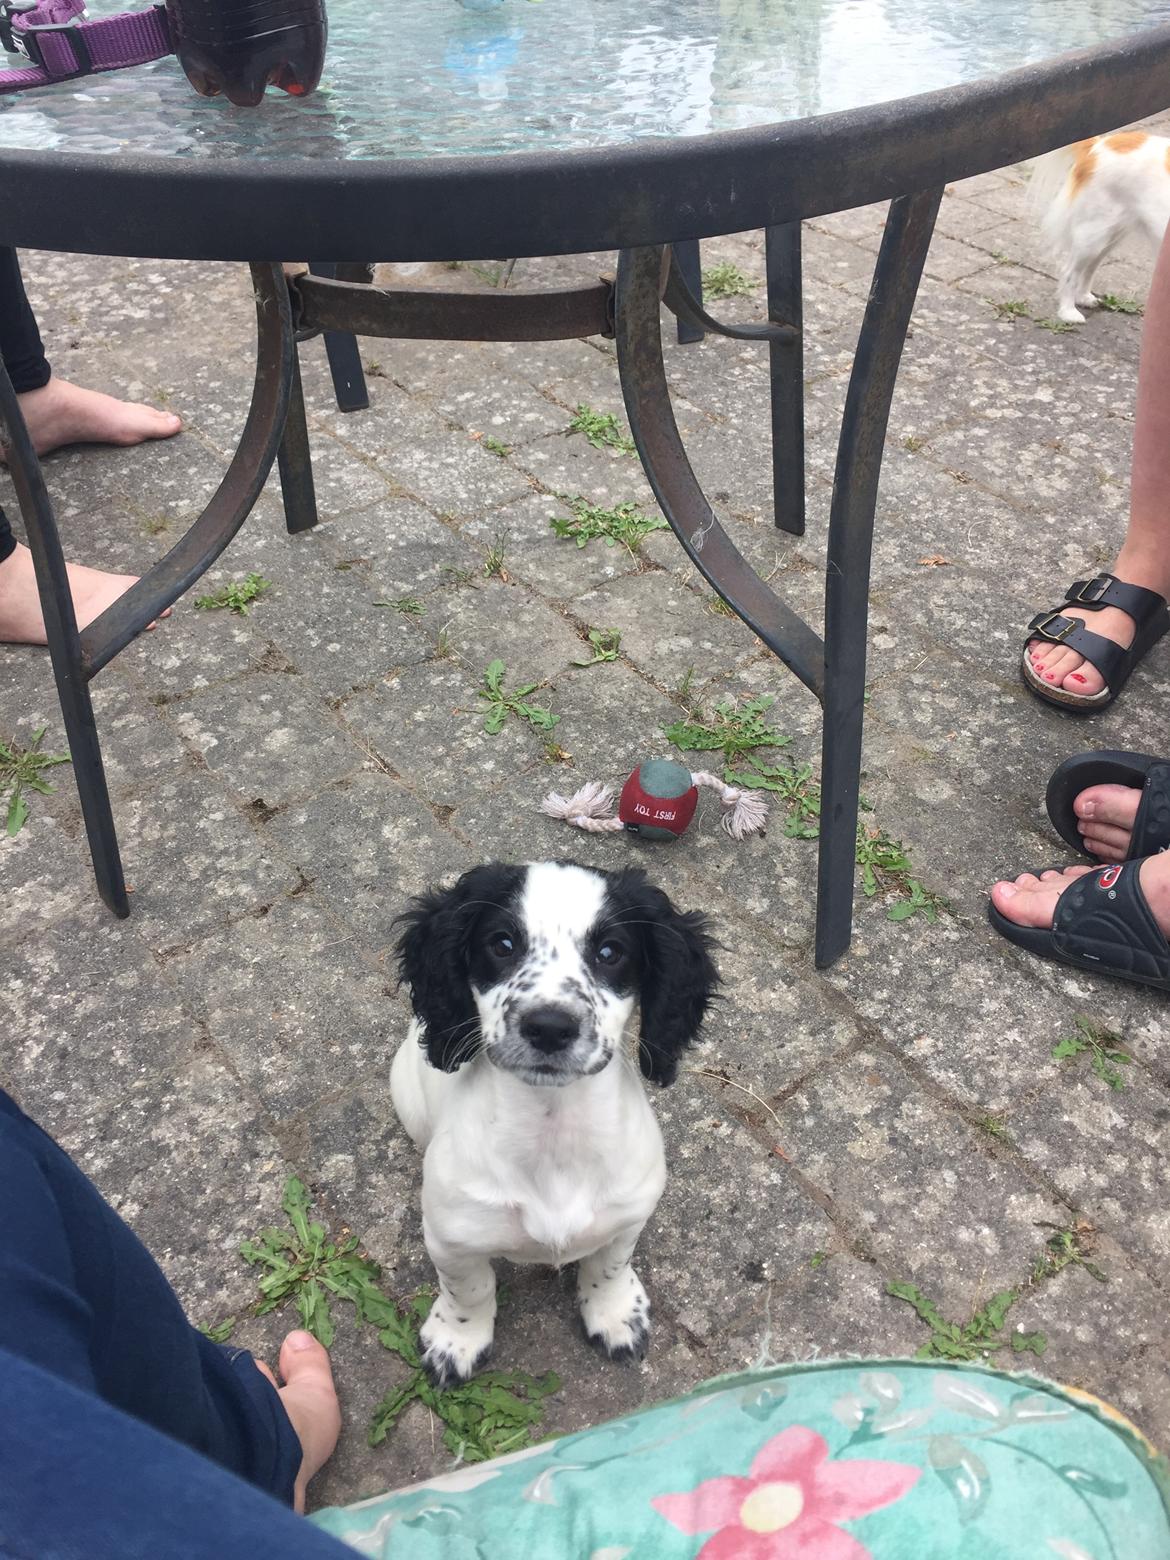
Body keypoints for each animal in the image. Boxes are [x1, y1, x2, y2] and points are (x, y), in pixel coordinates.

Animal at [394, 861, 720, 1385]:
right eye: (502, 943)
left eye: (610, 952)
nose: (549, 1027)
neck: (552, 1130)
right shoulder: (452, 1239)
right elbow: (470, 1290)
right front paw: (456, 1341)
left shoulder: (628, 1215)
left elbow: (608, 1267)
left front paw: (614, 1315)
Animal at [1035, 131, 1170, 322]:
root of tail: (1097, 145)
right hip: (1093, 235)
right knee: (1070, 270)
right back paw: (1068, 311)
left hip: (1109, 236)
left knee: (1090, 267)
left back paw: (1083, 297)